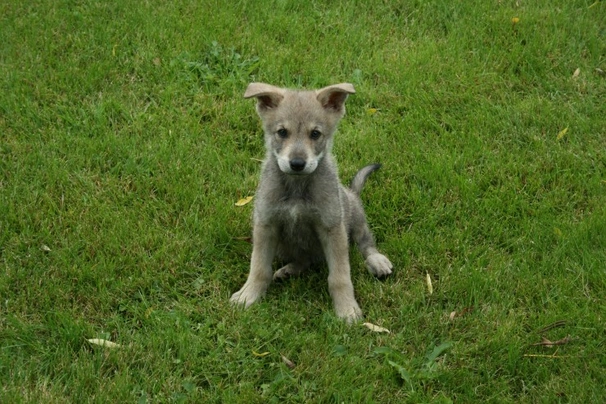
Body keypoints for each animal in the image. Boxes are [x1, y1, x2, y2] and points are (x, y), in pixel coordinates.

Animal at [229, 82, 394, 322]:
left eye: (315, 134)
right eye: (282, 132)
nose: (297, 163)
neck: (297, 188)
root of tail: (351, 192)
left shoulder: (332, 228)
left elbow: (340, 277)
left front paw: (347, 309)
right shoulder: (266, 225)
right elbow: (259, 268)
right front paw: (248, 295)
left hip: (354, 215)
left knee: (365, 242)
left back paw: (377, 261)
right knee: (304, 259)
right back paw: (289, 270)